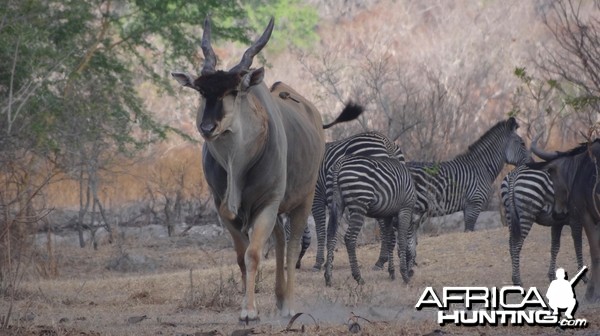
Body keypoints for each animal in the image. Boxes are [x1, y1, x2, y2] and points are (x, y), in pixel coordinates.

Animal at [304, 130, 408, 272]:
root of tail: (387, 142)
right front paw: (329, 262)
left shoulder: (317, 197)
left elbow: (321, 230)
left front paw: (319, 263)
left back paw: (380, 261)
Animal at [324, 155, 418, 286]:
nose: (412, 272)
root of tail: (339, 163)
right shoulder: (405, 209)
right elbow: (402, 240)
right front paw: (404, 275)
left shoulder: (387, 214)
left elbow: (390, 241)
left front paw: (392, 272)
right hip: (359, 204)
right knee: (350, 238)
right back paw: (358, 277)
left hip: (334, 202)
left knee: (331, 236)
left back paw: (328, 277)